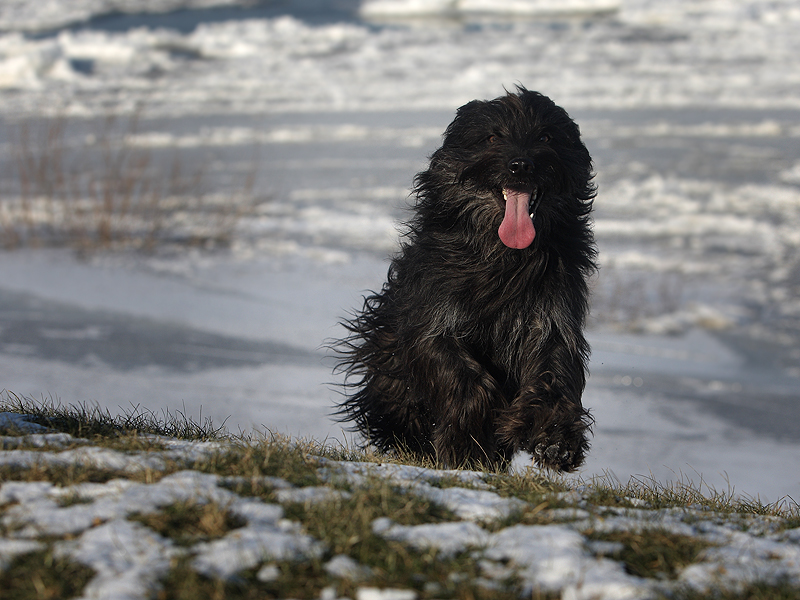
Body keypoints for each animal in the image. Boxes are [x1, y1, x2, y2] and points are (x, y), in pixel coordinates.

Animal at [334, 88, 596, 474]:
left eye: (547, 137)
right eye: (492, 137)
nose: (521, 165)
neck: (504, 257)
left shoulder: (551, 317)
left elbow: (554, 372)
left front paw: (555, 439)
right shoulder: (433, 320)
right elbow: (460, 372)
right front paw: (470, 437)